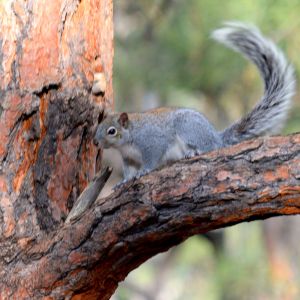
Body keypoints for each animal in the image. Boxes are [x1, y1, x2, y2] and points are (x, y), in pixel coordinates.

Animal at [94, 22, 296, 182]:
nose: (95, 142)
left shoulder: (152, 142)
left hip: (188, 127)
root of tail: (216, 136)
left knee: (209, 147)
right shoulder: (129, 158)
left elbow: (152, 159)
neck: (128, 139)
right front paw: (124, 182)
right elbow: (128, 171)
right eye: (98, 125)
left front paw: (143, 171)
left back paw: (194, 151)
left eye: (112, 131)